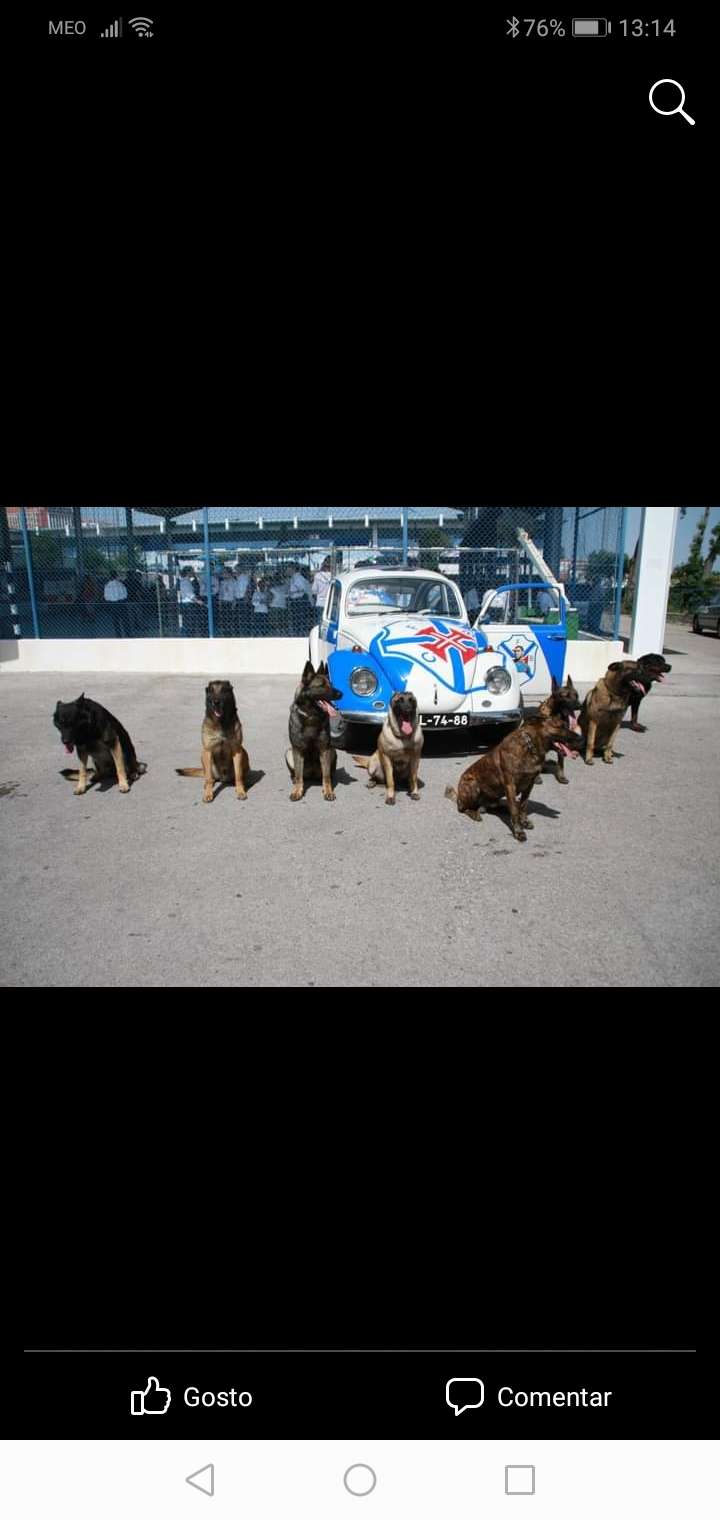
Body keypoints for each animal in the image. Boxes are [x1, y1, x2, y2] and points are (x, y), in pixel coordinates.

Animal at [284, 659, 343, 802]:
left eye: (331, 684)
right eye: (322, 685)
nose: (341, 694)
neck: (311, 716)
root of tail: (311, 772)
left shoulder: (324, 749)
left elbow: (326, 776)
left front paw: (328, 791)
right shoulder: (297, 750)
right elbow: (299, 776)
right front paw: (297, 791)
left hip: (332, 751)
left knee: (327, 773)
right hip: (289, 752)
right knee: (298, 774)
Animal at [443, 708, 580, 845]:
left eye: (567, 725)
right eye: (560, 726)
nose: (581, 738)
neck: (530, 746)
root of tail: (459, 797)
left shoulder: (529, 785)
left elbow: (523, 805)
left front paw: (524, 821)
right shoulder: (510, 785)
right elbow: (514, 810)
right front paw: (519, 832)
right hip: (472, 785)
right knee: (462, 808)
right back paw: (474, 813)